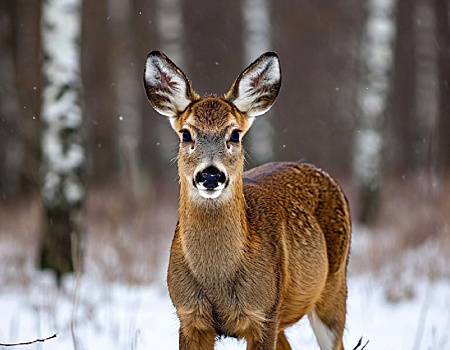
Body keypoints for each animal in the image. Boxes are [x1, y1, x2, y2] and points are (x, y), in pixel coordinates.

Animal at [144, 50, 352, 350]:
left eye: (234, 134)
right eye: (186, 134)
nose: (210, 175)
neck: (218, 283)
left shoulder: (264, 313)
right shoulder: (188, 316)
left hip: (334, 287)